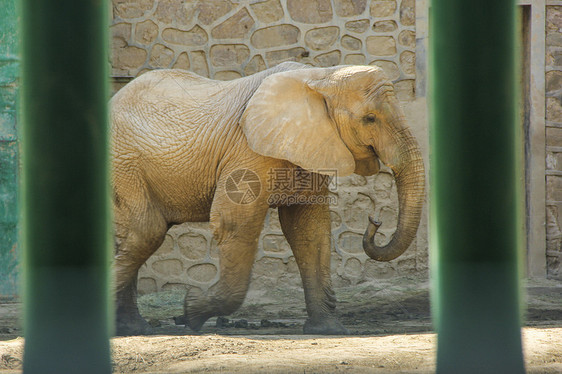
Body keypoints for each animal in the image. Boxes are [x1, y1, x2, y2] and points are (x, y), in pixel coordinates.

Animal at [110, 61, 424, 336]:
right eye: (369, 119)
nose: (375, 220)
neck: (322, 75)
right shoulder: (246, 152)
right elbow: (235, 222)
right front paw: (190, 311)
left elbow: (309, 230)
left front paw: (329, 331)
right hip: (125, 165)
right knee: (146, 231)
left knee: (133, 236)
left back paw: (133, 329)